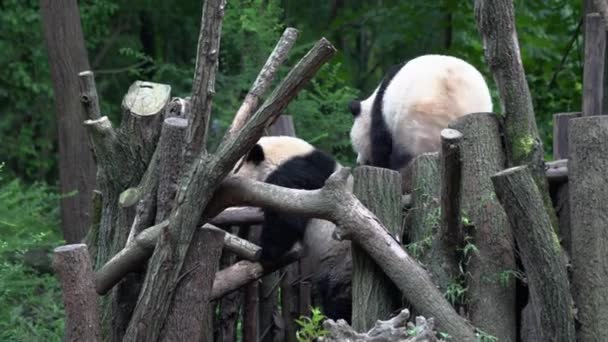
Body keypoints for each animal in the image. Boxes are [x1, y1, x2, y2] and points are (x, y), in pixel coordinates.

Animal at [235, 136, 354, 320]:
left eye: (235, 170)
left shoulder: (294, 176)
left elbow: (286, 220)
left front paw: (265, 252)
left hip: (340, 260)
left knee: (338, 296)